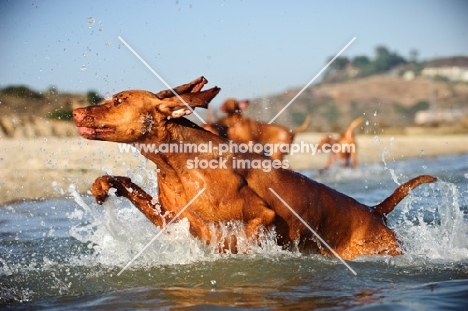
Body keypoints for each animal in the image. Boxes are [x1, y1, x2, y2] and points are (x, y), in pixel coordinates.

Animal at [72, 77, 436, 260]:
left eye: (119, 100)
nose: (75, 112)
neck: (178, 162)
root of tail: (376, 211)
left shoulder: (261, 217)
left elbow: (247, 239)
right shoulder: (172, 220)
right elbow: (124, 183)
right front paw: (102, 185)